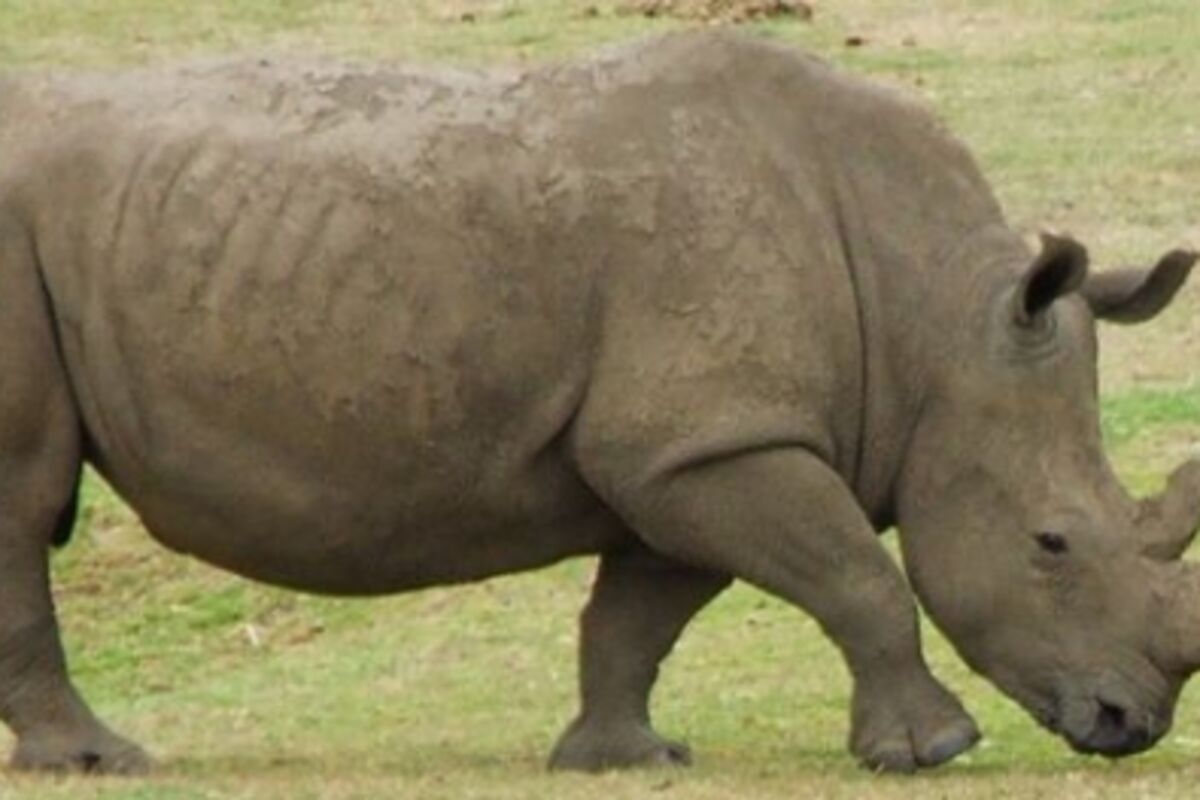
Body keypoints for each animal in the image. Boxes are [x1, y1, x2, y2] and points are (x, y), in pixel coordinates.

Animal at [0, 29, 1197, 775]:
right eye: (1051, 542)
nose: (1129, 721)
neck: (929, 319)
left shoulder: (688, 446)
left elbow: (639, 611)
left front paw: (625, 757)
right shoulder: (712, 437)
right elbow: (860, 578)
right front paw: (934, 750)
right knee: (24, 498)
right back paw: (101, 761)